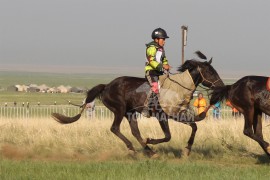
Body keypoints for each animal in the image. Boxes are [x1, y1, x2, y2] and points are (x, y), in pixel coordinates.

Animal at [52, 52, 224, 156]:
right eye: (210, 72)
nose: (221, 86)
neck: (178, 87)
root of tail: (106, 86)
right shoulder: (162, 116)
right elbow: (168, 136)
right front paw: (151, 140)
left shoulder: (177, 114)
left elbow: (194, 127)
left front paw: (187, 149)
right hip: (120, 110)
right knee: (115, 128)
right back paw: (135, 148)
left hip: (130, 113)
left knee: (135, 131)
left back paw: (149, 151)